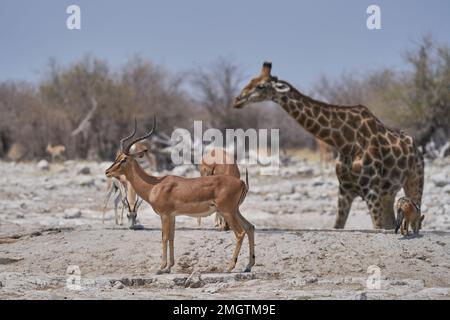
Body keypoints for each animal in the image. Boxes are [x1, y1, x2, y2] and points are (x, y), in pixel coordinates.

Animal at [234, 61, 424, 229]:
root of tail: (417, 149)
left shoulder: (372, 191)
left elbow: (377, 227)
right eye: (251, 80)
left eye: (260, 86)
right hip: (388, 194)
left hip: (414, 182)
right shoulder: (345, 190)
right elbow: (338, 226)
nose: (237, 100)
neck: (345, 141)